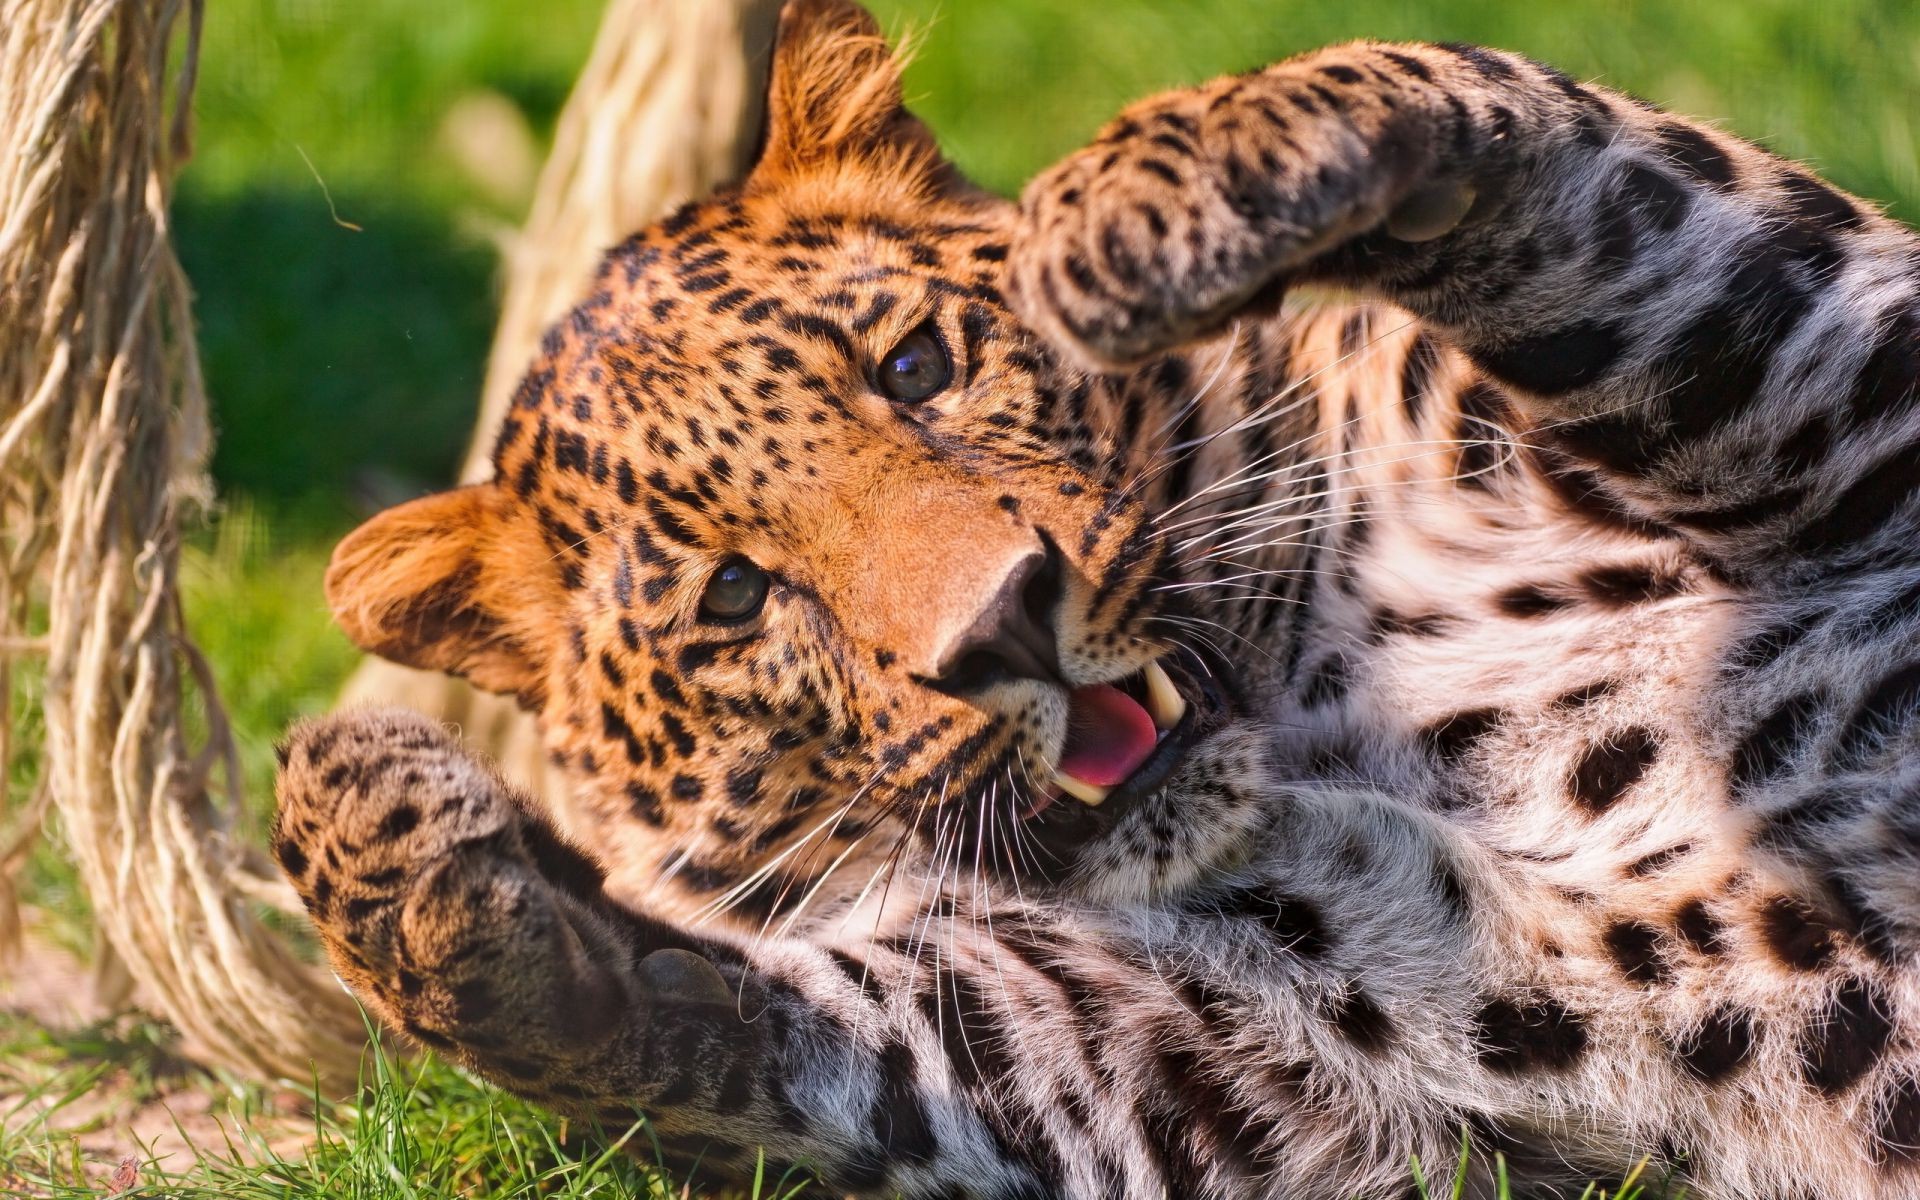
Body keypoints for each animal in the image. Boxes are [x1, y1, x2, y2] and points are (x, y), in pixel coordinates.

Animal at [266, 4, 1920, 1190]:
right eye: (735, 598)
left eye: (917, 366)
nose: (1003, 622)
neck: (1336, 710)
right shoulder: (1241, 1045)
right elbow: (752, 1029)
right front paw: (378, 838)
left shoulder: (1856, 390)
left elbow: (1588, 191)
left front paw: (1167, 191)